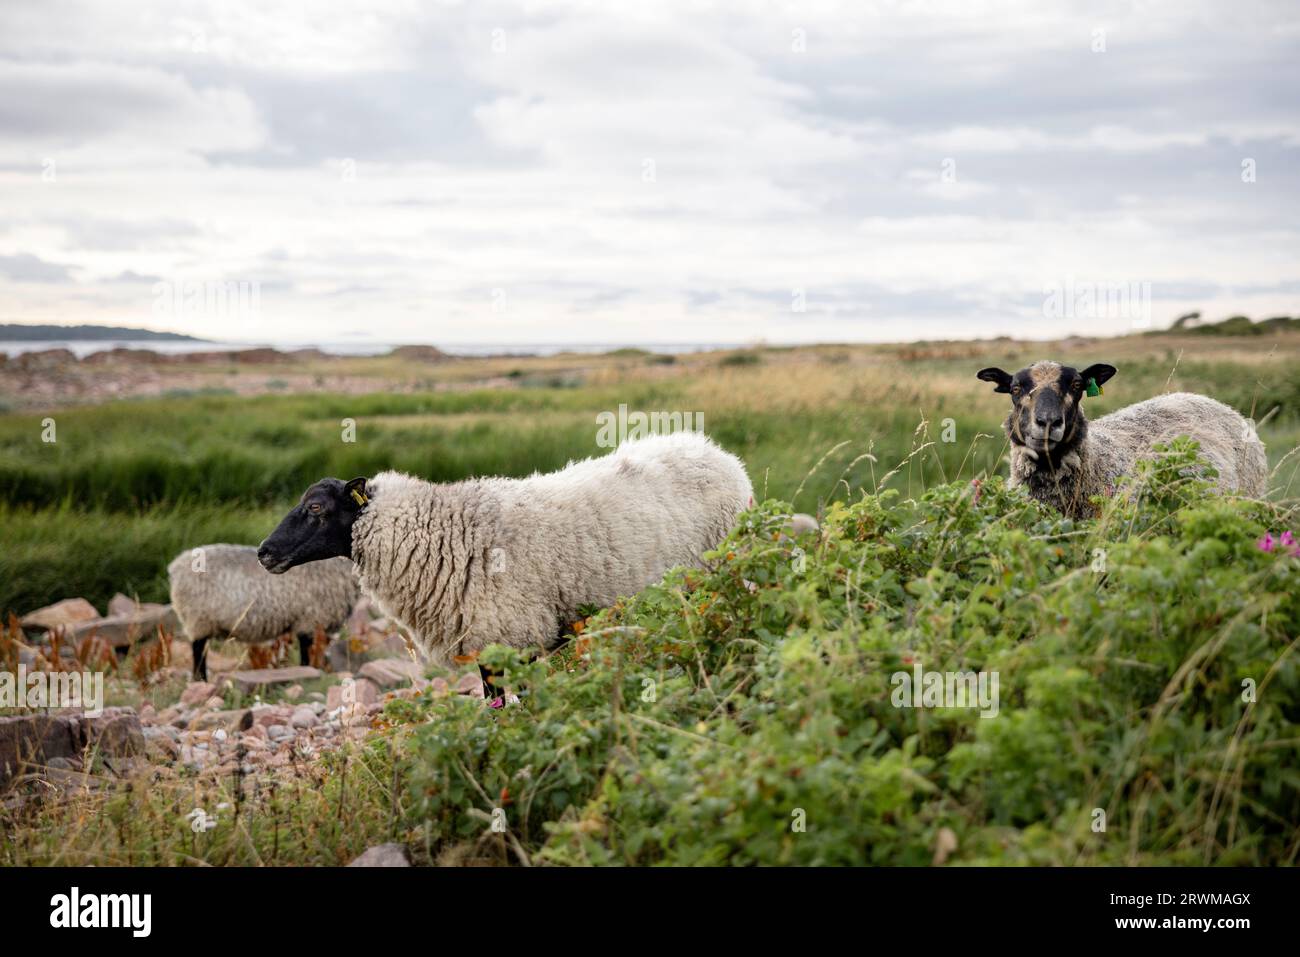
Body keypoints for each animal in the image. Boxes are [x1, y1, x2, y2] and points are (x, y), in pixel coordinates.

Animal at [169, 546, 361, 681]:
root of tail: (176, 566)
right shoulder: (310, 619)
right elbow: (306, 653)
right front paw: (308, 671)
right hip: (198, 619)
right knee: (198, 651)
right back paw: (201, 680)